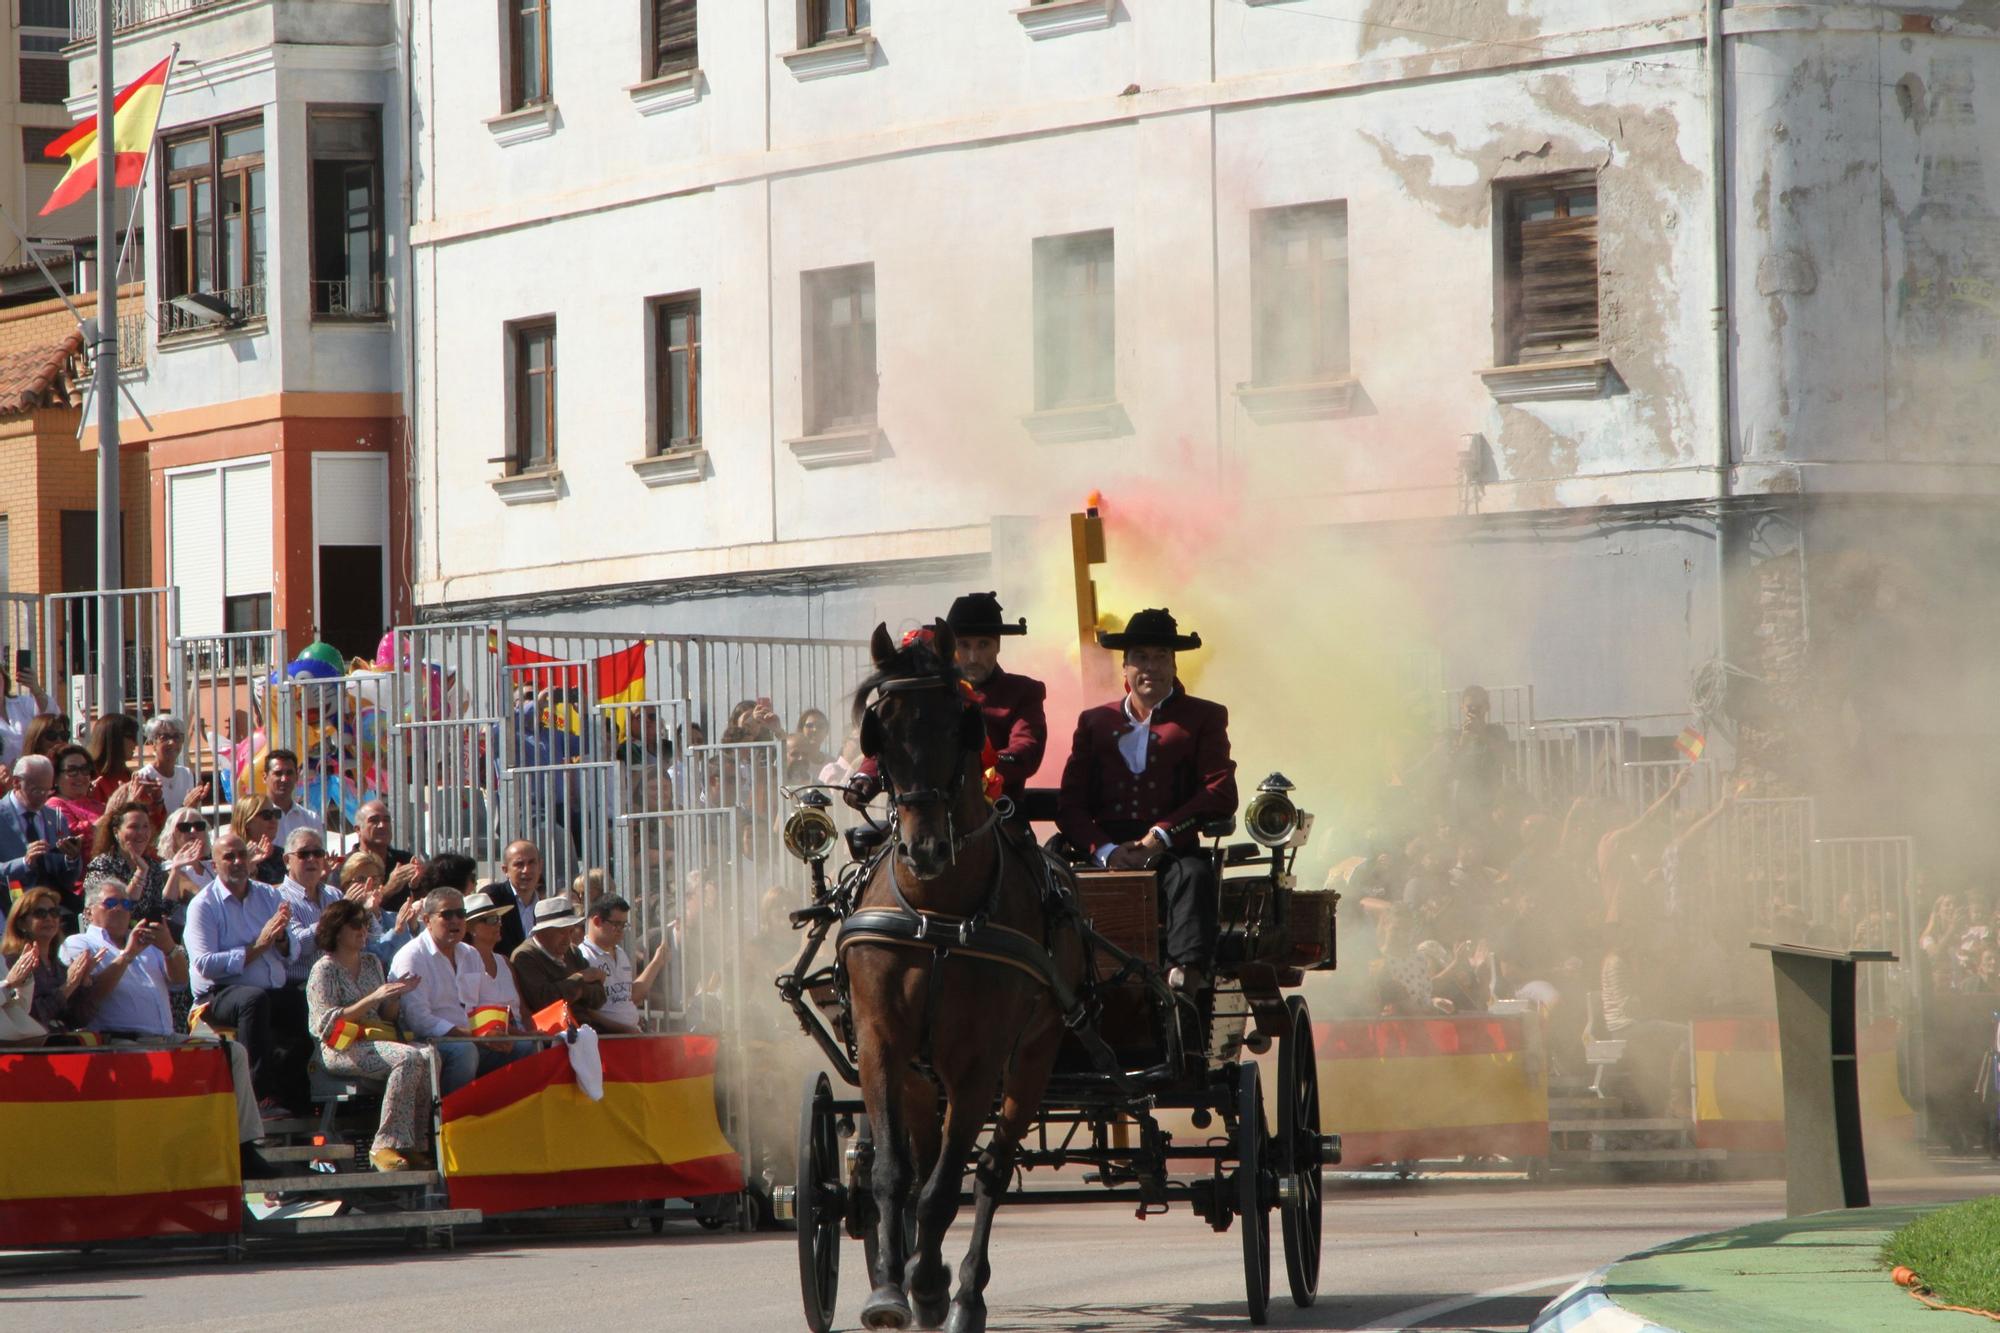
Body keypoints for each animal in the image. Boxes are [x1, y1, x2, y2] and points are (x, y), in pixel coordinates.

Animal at [848, 624, 1096, 1328]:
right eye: (879, 730)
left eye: (961, 726)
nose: (926, 849)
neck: (938, 912)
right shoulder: (882, 1045)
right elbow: (893, 1174)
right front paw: (888, 1291)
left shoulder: (979, 1063)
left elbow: (944, 1189)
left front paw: (929, 1286)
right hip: (919, 1077)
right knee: (927, 1161)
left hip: (1033, 1059)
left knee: (990, 1167)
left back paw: (963, 1294)